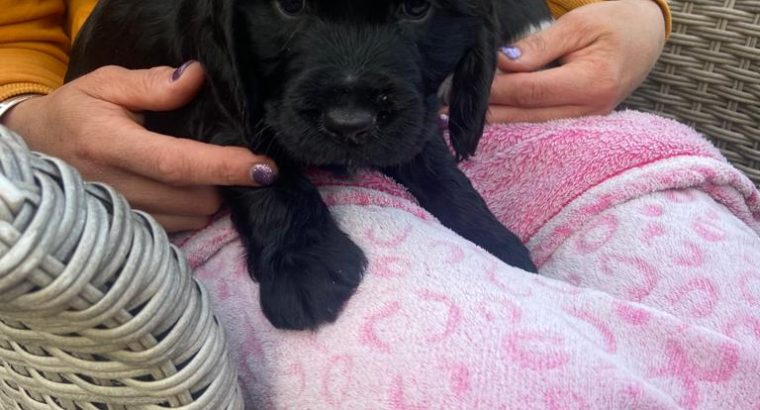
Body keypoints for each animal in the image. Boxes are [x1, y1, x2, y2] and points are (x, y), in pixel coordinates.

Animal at [67, 0, 552, 330]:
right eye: (289, 5)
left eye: (417, 9)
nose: (350, 123)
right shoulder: (219, 96)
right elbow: (269, 174)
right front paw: (304, 265)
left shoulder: (414, 111)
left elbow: (436, 165)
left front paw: (494, 238)